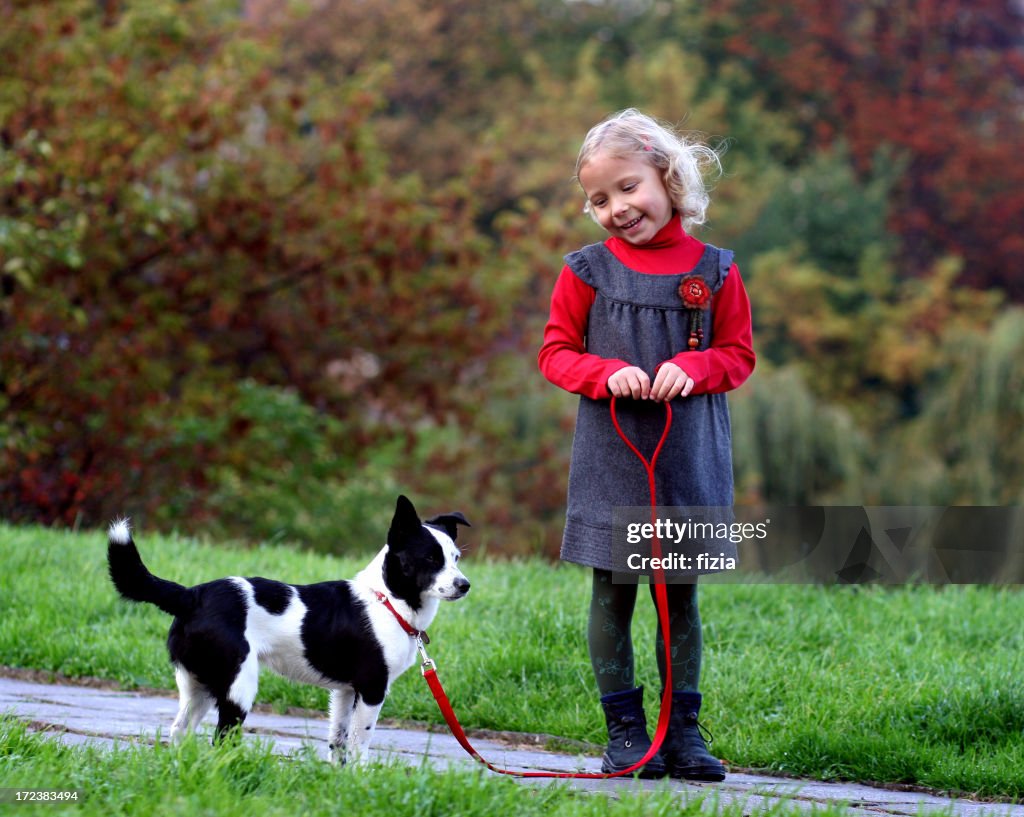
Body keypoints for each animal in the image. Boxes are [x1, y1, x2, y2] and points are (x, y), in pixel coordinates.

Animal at [107, 495, 468, 765]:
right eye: (430, 558)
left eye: (456, 557)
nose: (464, 585)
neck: (387, 601)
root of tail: (191, 596)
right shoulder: (371, 689)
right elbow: (359, 744)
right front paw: (362, 779)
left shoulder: (345, 692)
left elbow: (338, 742)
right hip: (238, 686)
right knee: (222, 738)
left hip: (200, 685)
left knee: (180, 730)